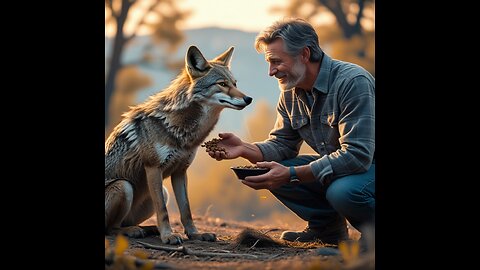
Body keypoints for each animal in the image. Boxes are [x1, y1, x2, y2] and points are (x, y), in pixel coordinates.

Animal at [103, 45, 253, 244]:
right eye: (222, 84)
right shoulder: (153, 168)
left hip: (161, 192)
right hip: (124, 186)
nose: (249, 99)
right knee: (112, 228)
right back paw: (135, 231)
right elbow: (163, 211)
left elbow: (186, 210)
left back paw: (149, 229)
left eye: (235, 84)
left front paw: (195, 234)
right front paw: (168, 236)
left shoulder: (180, 171)